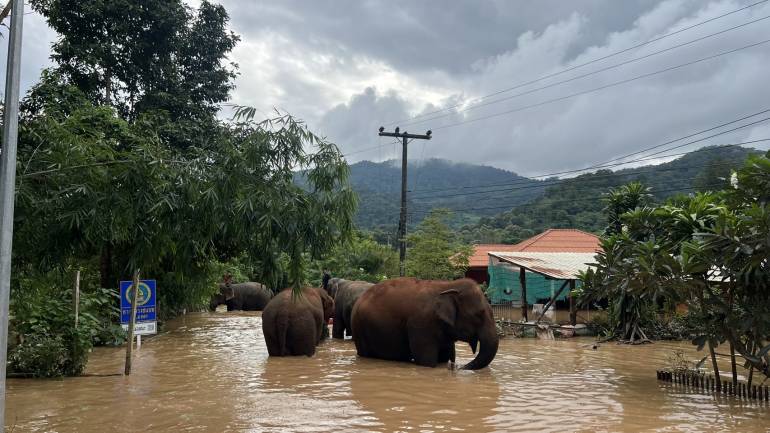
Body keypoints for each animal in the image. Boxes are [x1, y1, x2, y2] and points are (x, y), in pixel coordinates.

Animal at [350, 276, 498, 368]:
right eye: (479, 314)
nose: (457, 367)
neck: (447, 285)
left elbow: (444, 357)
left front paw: (446, 363)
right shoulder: (421, 324)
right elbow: (427, 361)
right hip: (360, 329)